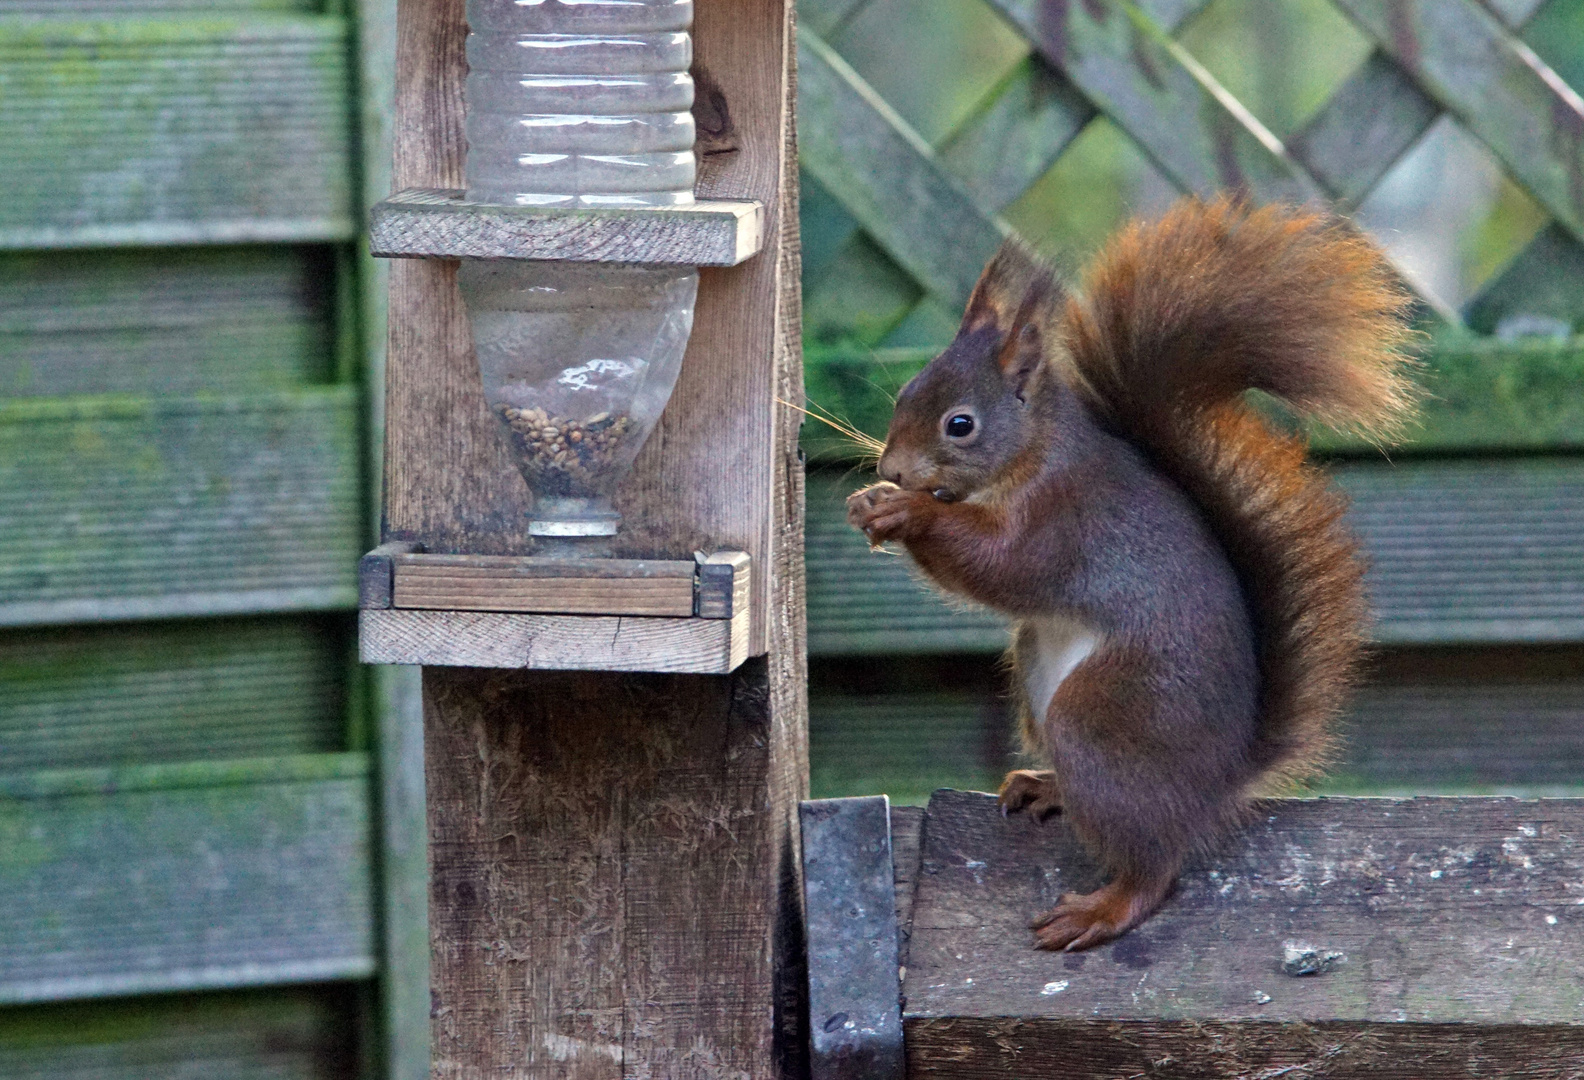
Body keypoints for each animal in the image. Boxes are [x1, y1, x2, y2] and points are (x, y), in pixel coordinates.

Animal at [849, 197, 1419, 943]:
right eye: (904, 395)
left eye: (960, 424)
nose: (891, 470)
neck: (1034, 455)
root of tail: (1215, 783)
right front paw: (869, 503)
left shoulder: (1066, 521)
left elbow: (1003, 567)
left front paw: (906, 511)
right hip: (1034, 670)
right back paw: (1047, 788)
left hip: (1104, 717)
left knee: (1154, 867)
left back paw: (1103, 907)